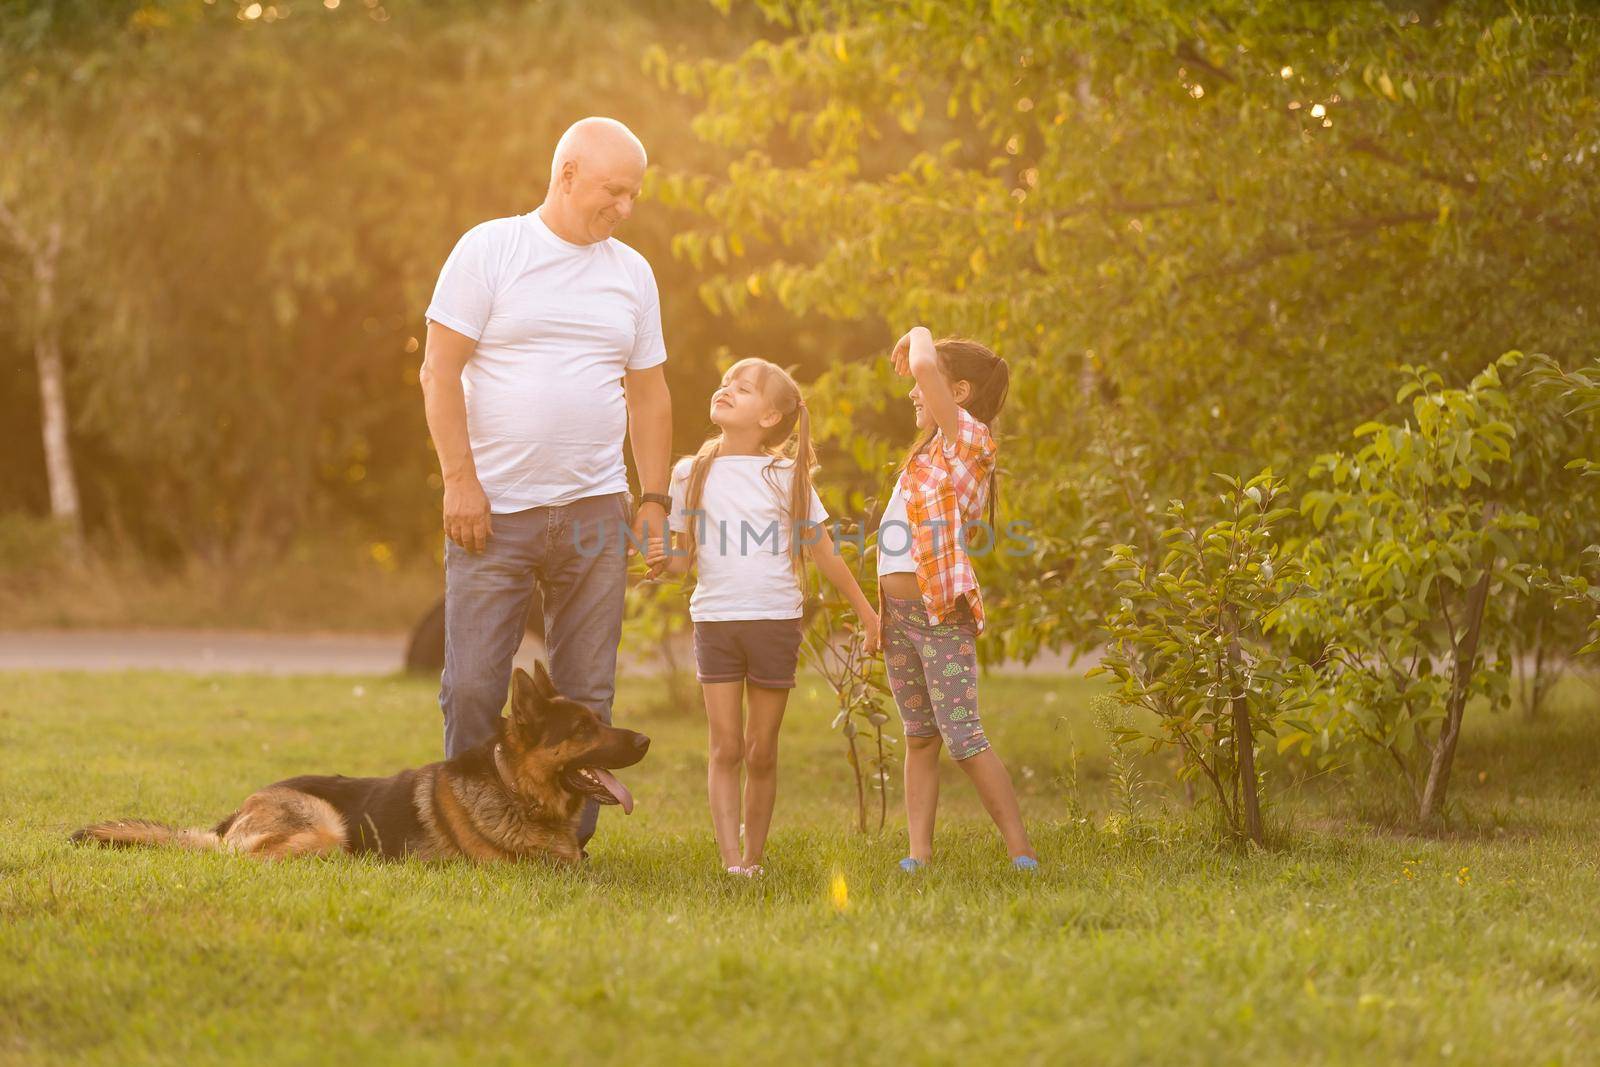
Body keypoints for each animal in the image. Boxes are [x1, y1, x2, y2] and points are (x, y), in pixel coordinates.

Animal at [73, 662, 649, 863]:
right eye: (583, 731)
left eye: (598, 721)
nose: (645, 740)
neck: (514, 789)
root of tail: (232, 818)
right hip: (329, 829)